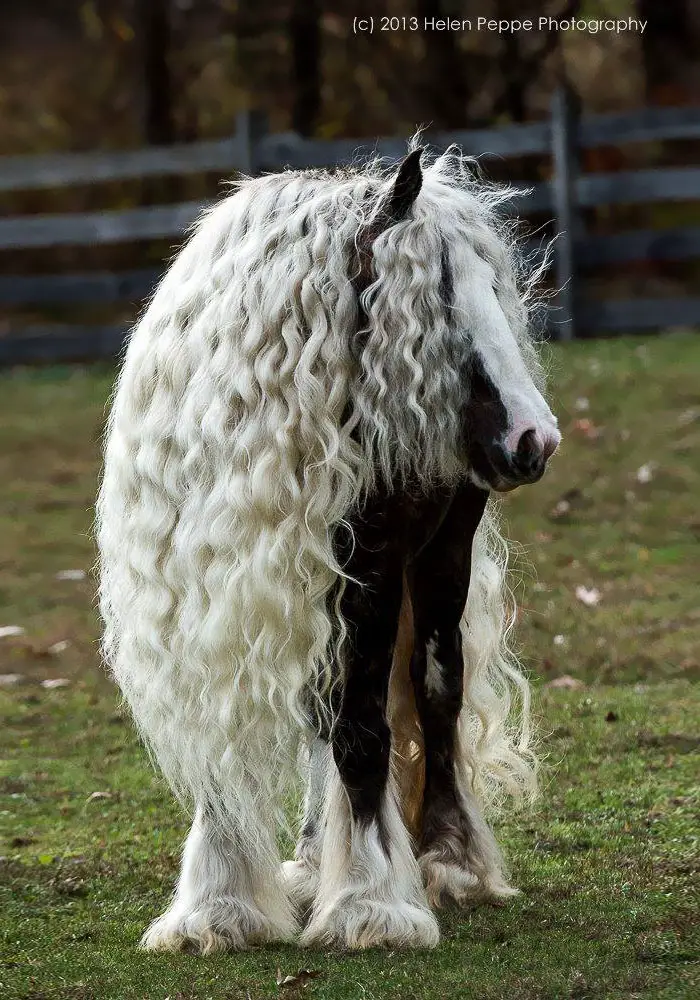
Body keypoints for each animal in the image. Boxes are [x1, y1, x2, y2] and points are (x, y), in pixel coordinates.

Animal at [95, 143, 560, 952]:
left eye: (494, 289)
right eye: (440, 295)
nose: (534, 439)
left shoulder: (368, 572)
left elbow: (366, 728)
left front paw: (370, 901)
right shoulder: (212, 596)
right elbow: (243, 731)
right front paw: (219, 906)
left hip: (439, 558)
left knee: (435, 690)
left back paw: (448, 861)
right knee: (324, 707)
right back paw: (315, 861)